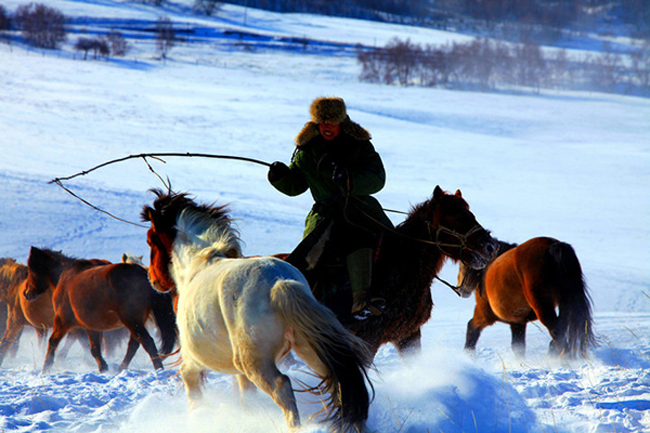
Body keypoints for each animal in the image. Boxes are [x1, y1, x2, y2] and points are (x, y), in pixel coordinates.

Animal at [23, 246, 176, 372]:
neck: (64, 278)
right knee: (134, 345)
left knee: (147, 342)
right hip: (137, 322)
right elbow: (94, 349)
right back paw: (122, 368)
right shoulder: (92, 326)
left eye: (31, 269)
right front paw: (103, 368)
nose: (26, 293)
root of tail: (144, 275)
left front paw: (46, 368)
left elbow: (53, 342)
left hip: (131, 321)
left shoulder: (62, 321)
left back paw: (159, 369)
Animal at [142, 189, 374, 432]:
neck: (196, 266)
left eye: (150, 239)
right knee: (337, 378)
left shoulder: (193, 359)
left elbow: (191, 386)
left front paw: (196, 417)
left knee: (283, 387)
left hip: (255, 361)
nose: (153, 279)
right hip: (309, 346)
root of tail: (279, 283)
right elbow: (247, 398)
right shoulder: (240, 374)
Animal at [454, 236, 596, 358]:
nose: (461, 289)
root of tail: (553, 247)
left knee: (559, 336)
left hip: (543, 308)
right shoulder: (518, 323)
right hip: (565, 304)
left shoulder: (484, 314)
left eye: (463, 262)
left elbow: (472, 329)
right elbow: (518, 348)